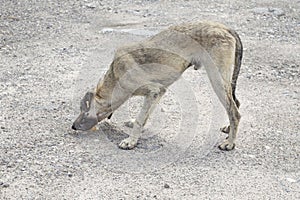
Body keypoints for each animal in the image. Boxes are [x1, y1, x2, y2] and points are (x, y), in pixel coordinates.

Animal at [72, 21, 244, 151]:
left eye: (83, 110)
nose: (73, 126)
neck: (116, 76)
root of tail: (224, 27)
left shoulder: (152, 91)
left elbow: (141, 118)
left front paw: (131, 141)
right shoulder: (159, 92)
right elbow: (145, 115)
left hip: (217, 81)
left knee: (234, 112)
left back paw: (230, 143)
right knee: (236, 103)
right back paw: (229, 131)